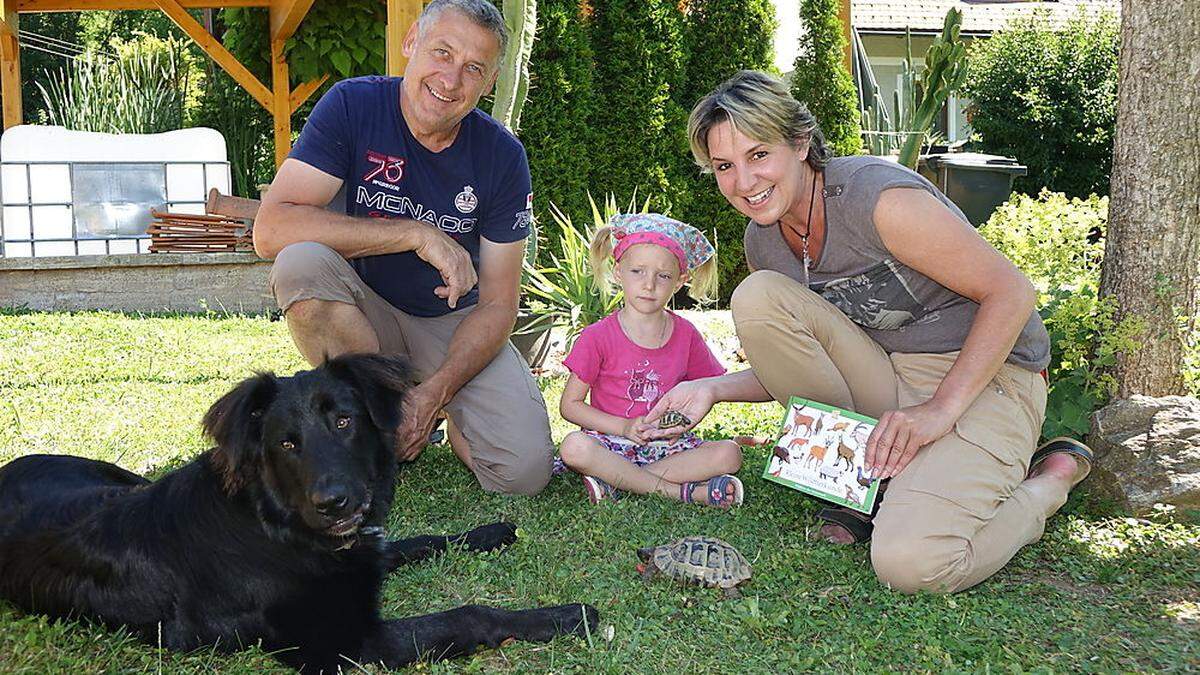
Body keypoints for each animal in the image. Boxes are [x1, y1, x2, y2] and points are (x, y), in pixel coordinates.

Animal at [0, 353, 597, 667]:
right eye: (286, 444)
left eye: (344, 421)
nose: (334, 503)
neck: (272, 523)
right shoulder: (347, 642)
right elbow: (467, 615)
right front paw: (564, 615)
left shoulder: (358, 553)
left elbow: (417, 541)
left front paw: (489, 531)